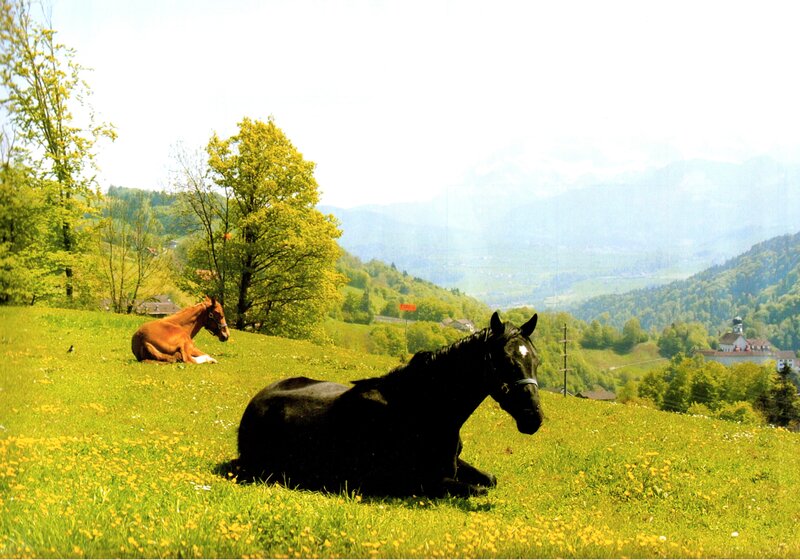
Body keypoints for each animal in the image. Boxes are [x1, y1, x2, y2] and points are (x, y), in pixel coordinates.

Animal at [233, 311, 542, 497]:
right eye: (505, 362)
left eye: (536, 361)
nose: (533, 417)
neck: (421, 409)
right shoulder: (420, 481)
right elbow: (478, 489)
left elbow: (490, 480)